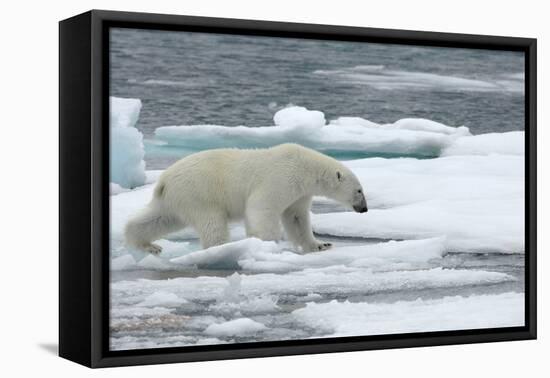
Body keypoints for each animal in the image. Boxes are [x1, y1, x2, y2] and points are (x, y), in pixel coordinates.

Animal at [123, 143, 368, 255]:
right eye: (359, 190)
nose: (364, 209)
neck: (305, 167)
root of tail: (164, 179)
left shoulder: (299, 193)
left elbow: (296, 218)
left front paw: (321, 244)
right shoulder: (281, 177)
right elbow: (262, 208)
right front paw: (267, 244)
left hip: (176, 199)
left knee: (159, 218)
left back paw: (148, 245)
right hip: (199, 193)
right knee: (213, 223)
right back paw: (222, 248)